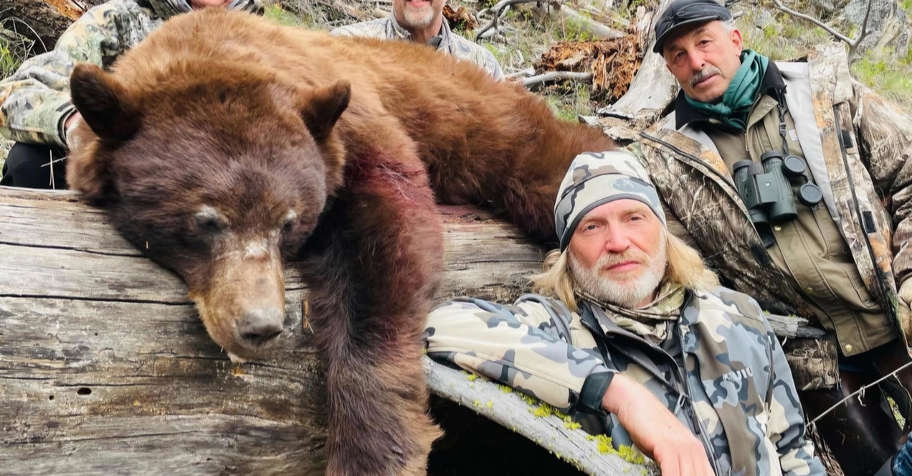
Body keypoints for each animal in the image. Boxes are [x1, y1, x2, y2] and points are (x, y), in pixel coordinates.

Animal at [65, 8, 615, 475]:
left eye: (287, 222)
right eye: (206, 221)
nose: (260, 326)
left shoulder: (353, 132)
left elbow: (388, 247)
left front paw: (374, 453)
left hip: (497, 131)